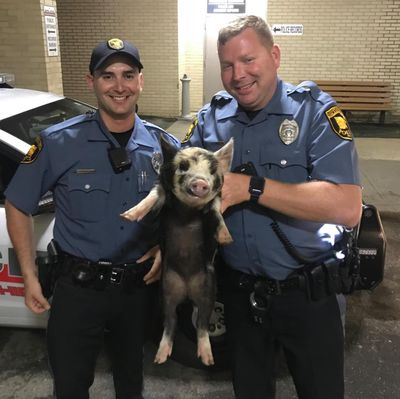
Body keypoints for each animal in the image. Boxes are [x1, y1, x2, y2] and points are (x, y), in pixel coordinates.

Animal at [122, 138, 234, 366]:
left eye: (212, 171)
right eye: (183, 166)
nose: (200, 182)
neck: (187, 210)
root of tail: (187, 291)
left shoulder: (216, 199)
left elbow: (216, 213)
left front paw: (226, 238)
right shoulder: (161, 186)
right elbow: (153, 195)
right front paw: (127, 216)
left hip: (208, 289)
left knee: (202, 324)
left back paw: (207, 359)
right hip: (166, 290)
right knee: (170, 321)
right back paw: (160, 358)